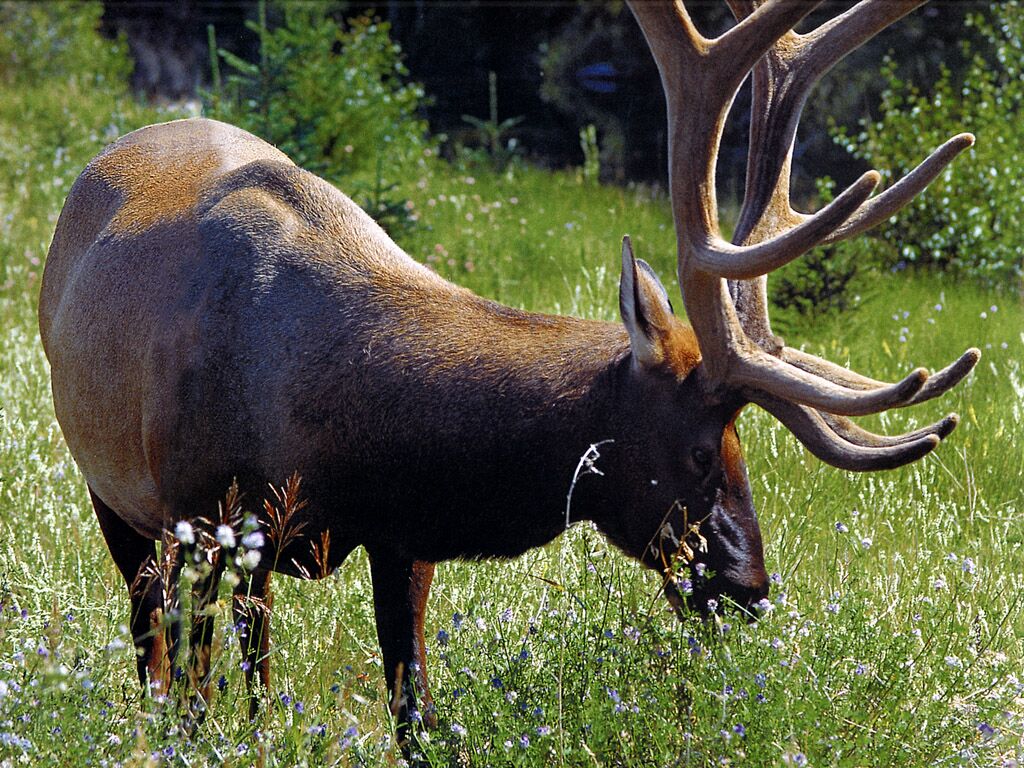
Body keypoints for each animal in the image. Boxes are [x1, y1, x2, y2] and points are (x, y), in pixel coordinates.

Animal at [39, 0, 978, 753]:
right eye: (701, 452)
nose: (749, 588)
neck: (335, 433)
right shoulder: (206, 517)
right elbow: (214, 701)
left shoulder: (403, 537)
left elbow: (414, 713)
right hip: (117, 494)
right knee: (154, 647)